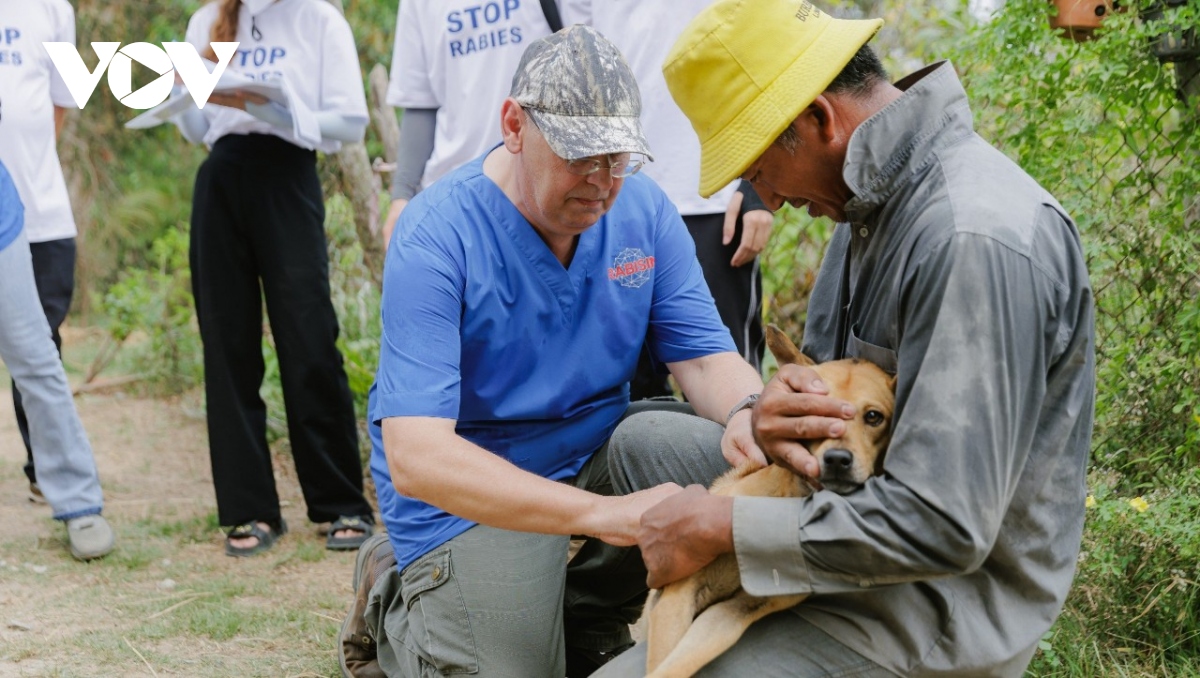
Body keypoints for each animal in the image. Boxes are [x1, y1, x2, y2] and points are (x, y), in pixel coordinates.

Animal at [648, 324, 892, 672]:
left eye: (873, 417)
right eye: (809, 412)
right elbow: (660, 666)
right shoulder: (677, 595)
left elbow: (679, 664)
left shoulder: (733, 613)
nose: (837, 460)